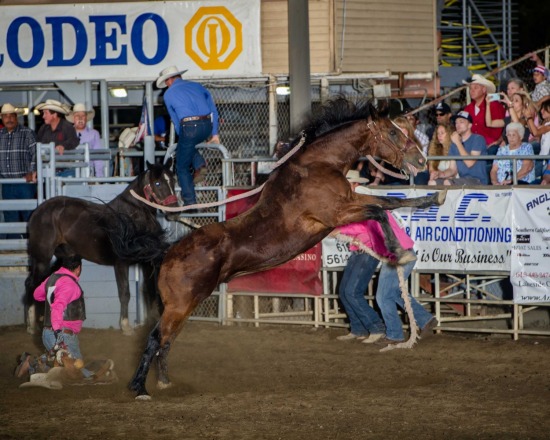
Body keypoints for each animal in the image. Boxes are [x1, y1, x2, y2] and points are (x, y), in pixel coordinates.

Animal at [25, 160, 178, 336]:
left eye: (173, 180)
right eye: (157, 183)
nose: (174, 212)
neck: (132, 218)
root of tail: (37, 212)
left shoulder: (147, 262)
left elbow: (150, 291)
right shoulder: (121, 263)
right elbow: (125, 293)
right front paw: (126, 326)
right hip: (42, 258)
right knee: (32, 283)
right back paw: (32, 325)